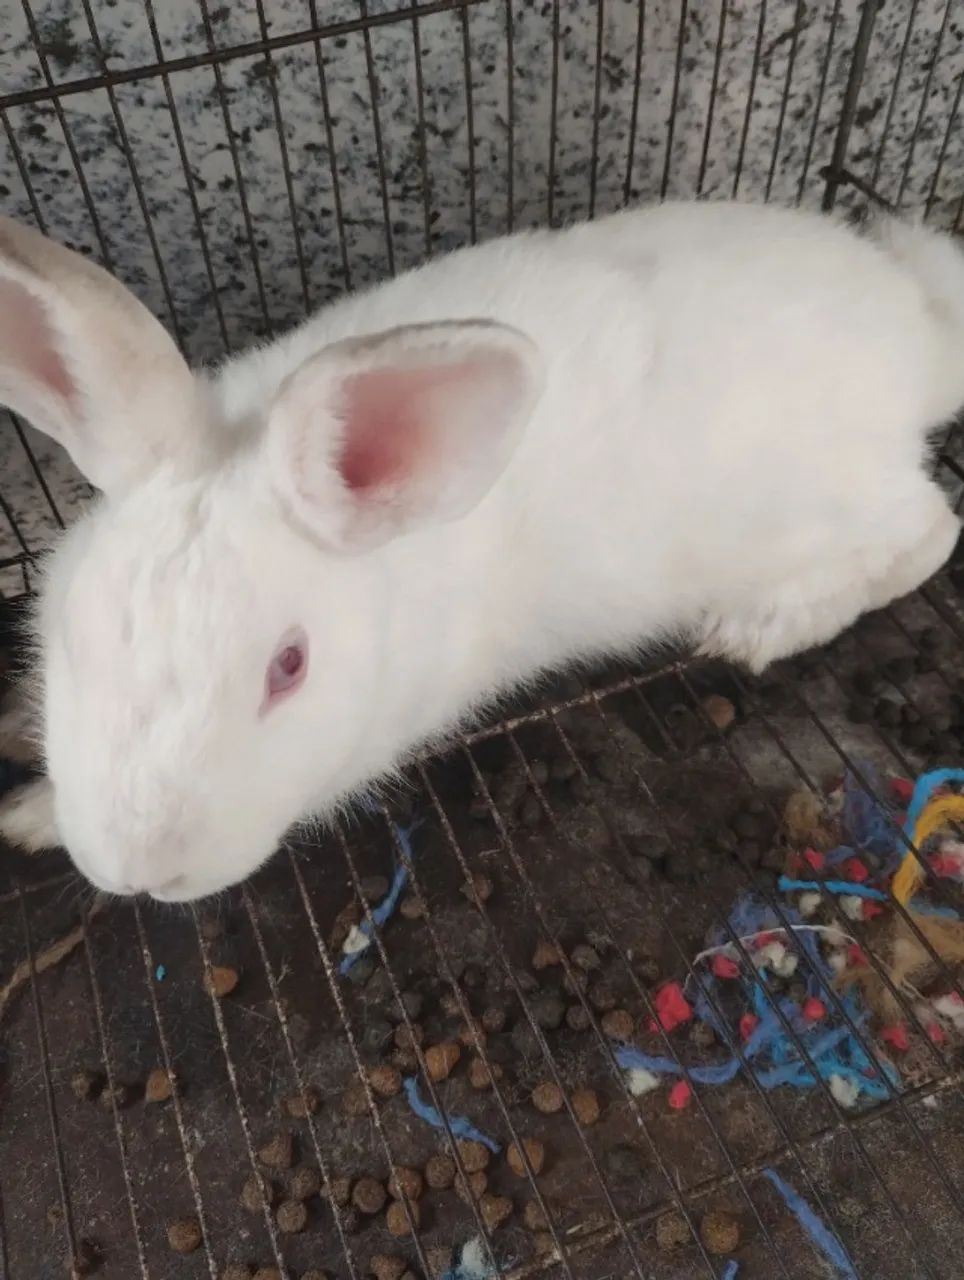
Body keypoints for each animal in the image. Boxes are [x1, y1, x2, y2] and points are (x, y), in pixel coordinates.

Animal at [0, 200, 961, 902]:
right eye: (74, 632)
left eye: (289, 667)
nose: (141, 874)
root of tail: (919, 330)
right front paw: (33, 792)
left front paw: (30, 815)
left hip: (830, 502)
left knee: (932, 528)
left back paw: (762, 628)